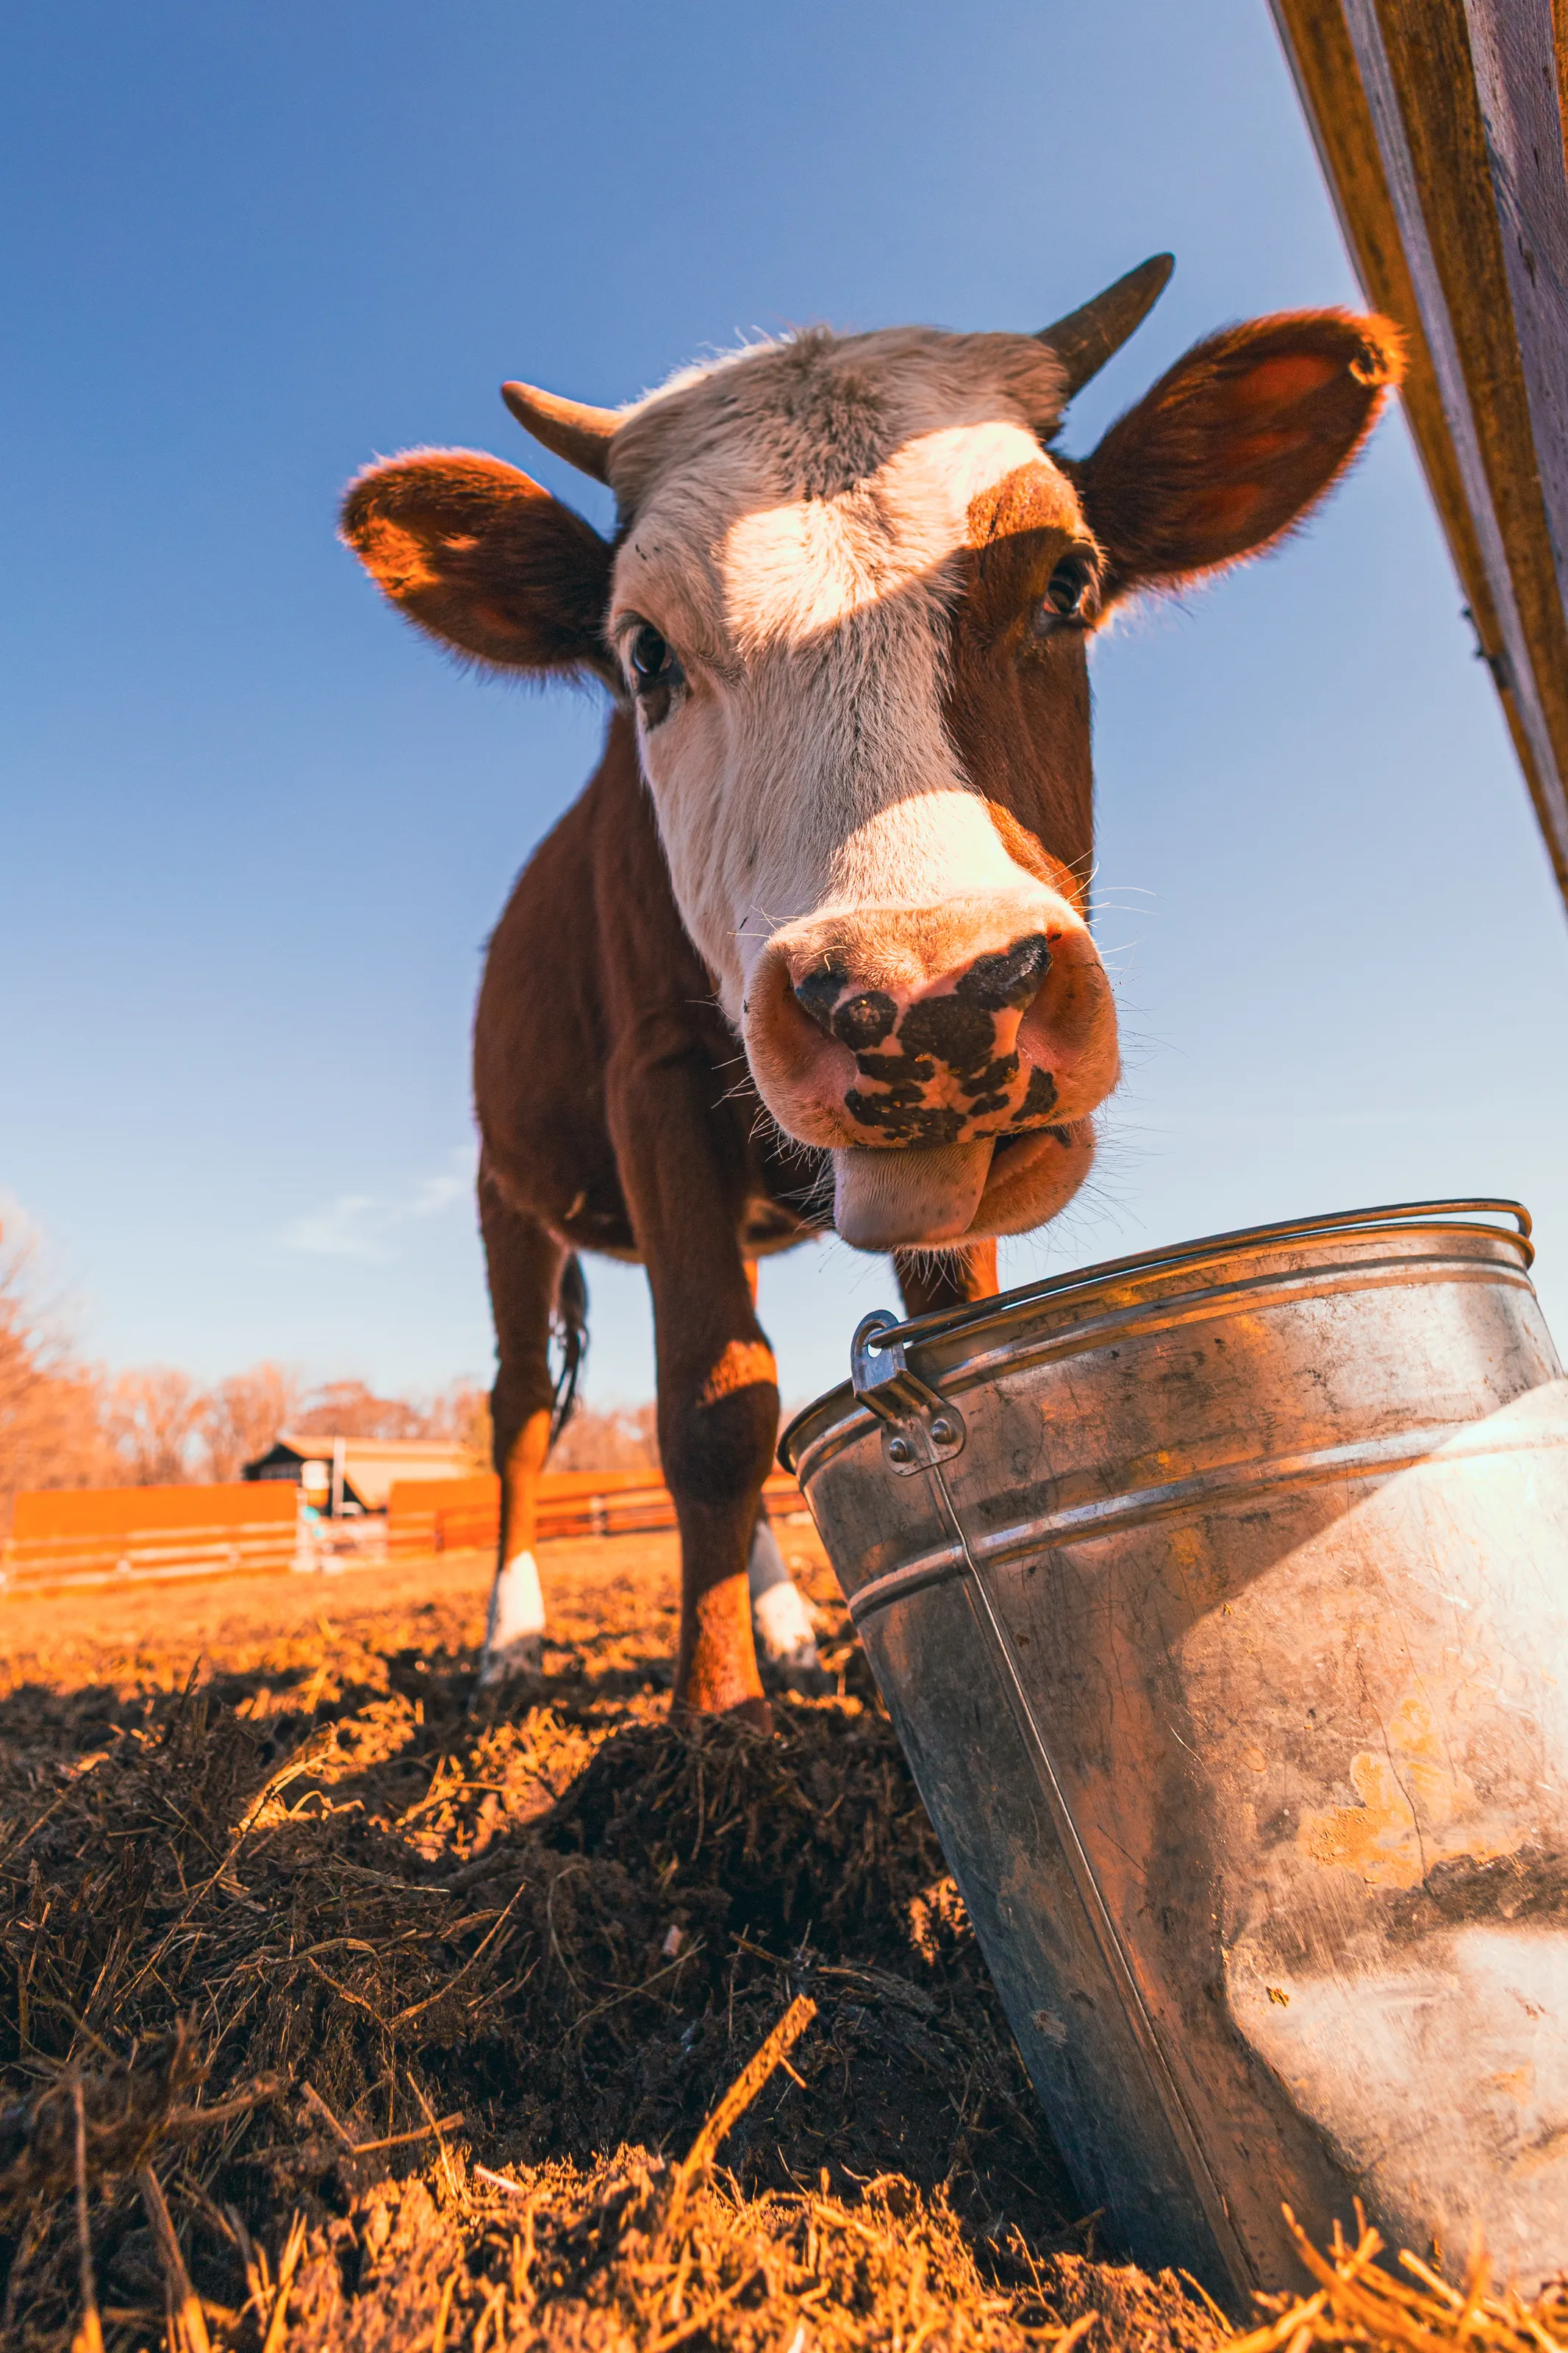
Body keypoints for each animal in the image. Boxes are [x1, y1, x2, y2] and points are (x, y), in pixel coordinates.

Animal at [342, 257, 1401, 1729]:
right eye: (643, 654)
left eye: (1068, 579)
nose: (928, 995)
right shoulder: (652, 1078)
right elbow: (706, 1411)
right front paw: (713, 1728)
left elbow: (913, 1348)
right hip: (512, 1194)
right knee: (518, 1415)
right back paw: (512, 1642)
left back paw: (786, 1623)